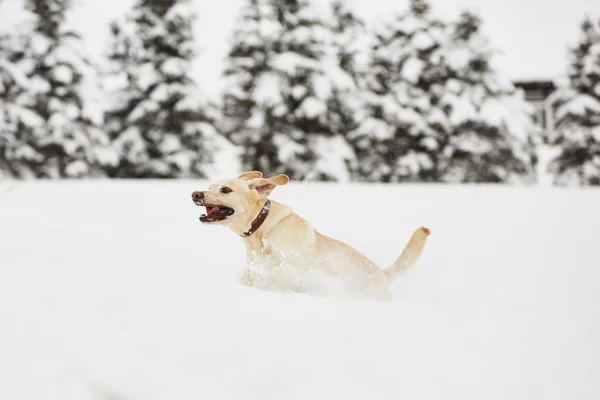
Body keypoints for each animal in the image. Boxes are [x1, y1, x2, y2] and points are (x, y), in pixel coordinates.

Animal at [192, 171, 432, 300]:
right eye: (210, 186)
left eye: (225, 190)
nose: (196, 194)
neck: (263, 230)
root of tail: (383, 274)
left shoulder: (292, 266)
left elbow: (278, 275)